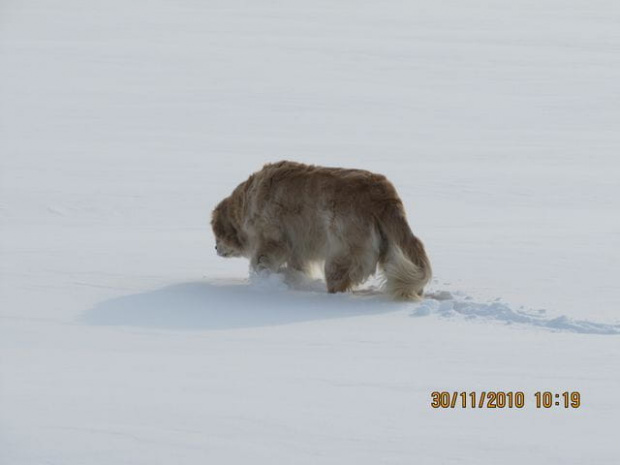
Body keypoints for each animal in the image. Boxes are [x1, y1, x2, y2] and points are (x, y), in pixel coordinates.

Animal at [209, 161, 432, 300]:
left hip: (340, 255)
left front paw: (262, 280)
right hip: (393, 250)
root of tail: (383, 196)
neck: (246, 202)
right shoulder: (296, 250)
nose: (215, 248)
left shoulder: (272, 240)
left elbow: (261, 261)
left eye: (217, 235)